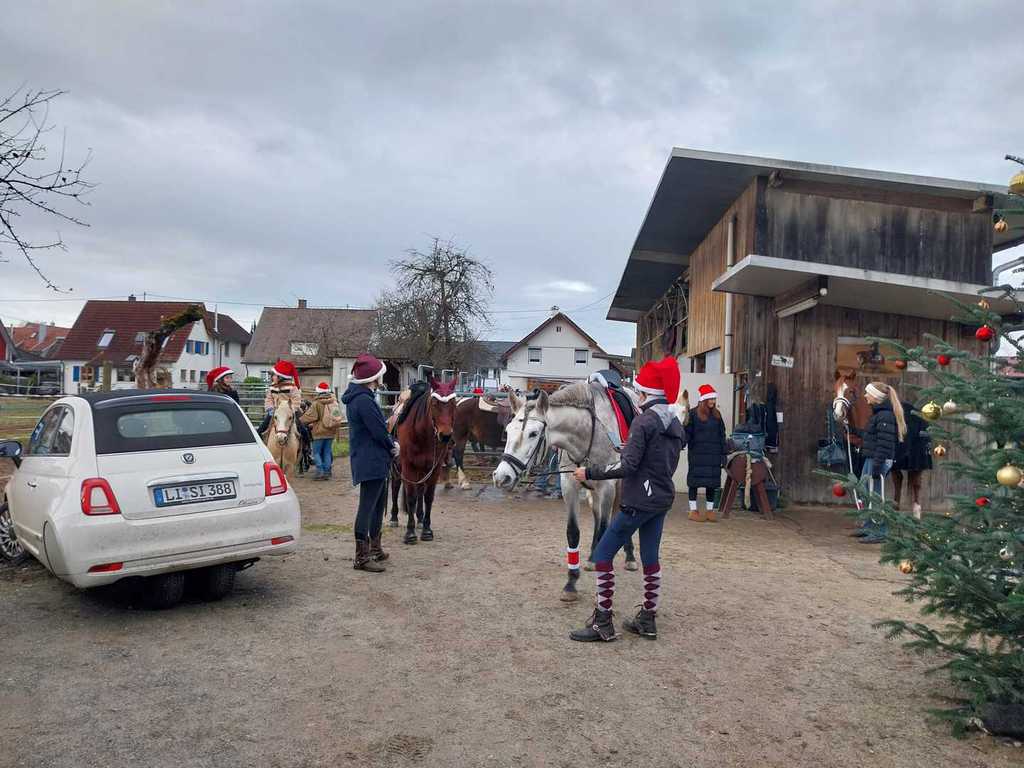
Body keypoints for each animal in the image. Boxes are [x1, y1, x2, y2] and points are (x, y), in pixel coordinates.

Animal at [394, 379, 458, 544]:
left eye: (454, 403)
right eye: (434, 403)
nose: (446, 436)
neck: (421, 434)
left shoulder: (434, 469)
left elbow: (428, 497)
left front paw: (427, 530)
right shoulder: (408, 467)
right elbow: (411, 498)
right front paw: (410, 533)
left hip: (422, 470)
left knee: (420, 490)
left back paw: (420, 519)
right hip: (397, 468)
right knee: (395, 487)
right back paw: (393, 518)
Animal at [493, 382, 638, 603]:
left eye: (533, 433)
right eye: (508, 431)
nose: (502, 476)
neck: (588, 435)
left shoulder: (607, 487)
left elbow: (606, 528)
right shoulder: (570, 486)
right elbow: (573, 533)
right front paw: (571, 583)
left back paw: (629, 556)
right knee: (597, 516)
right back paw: (593, 557)